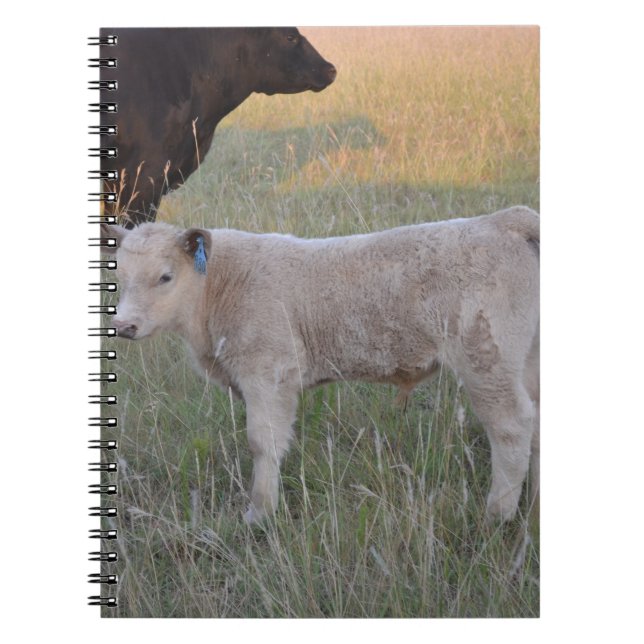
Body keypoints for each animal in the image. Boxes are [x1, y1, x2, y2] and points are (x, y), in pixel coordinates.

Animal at [101, 206, 540, 525]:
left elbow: (263, 443)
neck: (218, 288)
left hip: (487, 360)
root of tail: (503, 220)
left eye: (165, 276)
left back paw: (497, 514)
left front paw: (259, 514)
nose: (124, 325)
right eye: (119, 275)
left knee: (511, 427)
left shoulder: (267, 374)